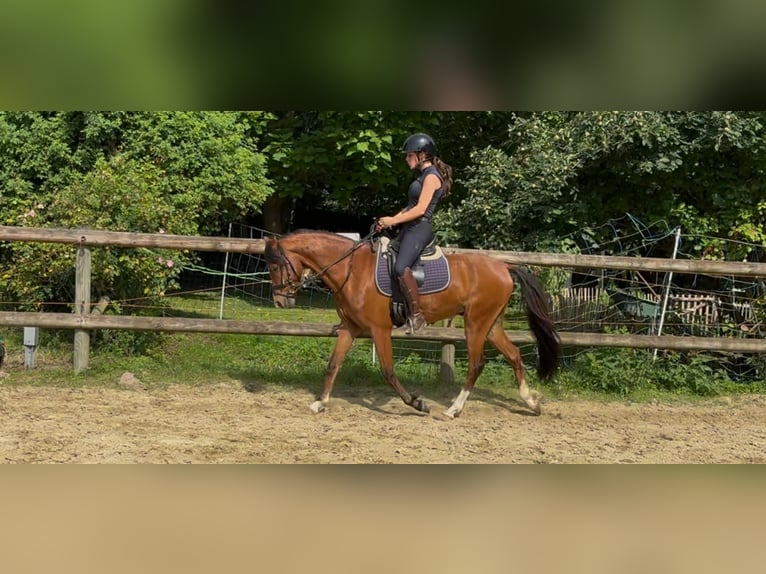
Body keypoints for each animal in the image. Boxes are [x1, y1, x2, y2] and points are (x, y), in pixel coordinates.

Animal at [263, 229, 560, 418]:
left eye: (275, 265)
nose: (280, 301)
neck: (352, 270)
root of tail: (504, 267)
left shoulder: (379, 330)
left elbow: (388, 371)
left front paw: (417, 403)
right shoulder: (349, 328)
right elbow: (333, 365)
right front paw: (321, 403)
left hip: (475, 324)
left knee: (477, 364)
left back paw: (453, 410)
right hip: (492, 324)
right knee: (514, 355)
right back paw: (532, 403)